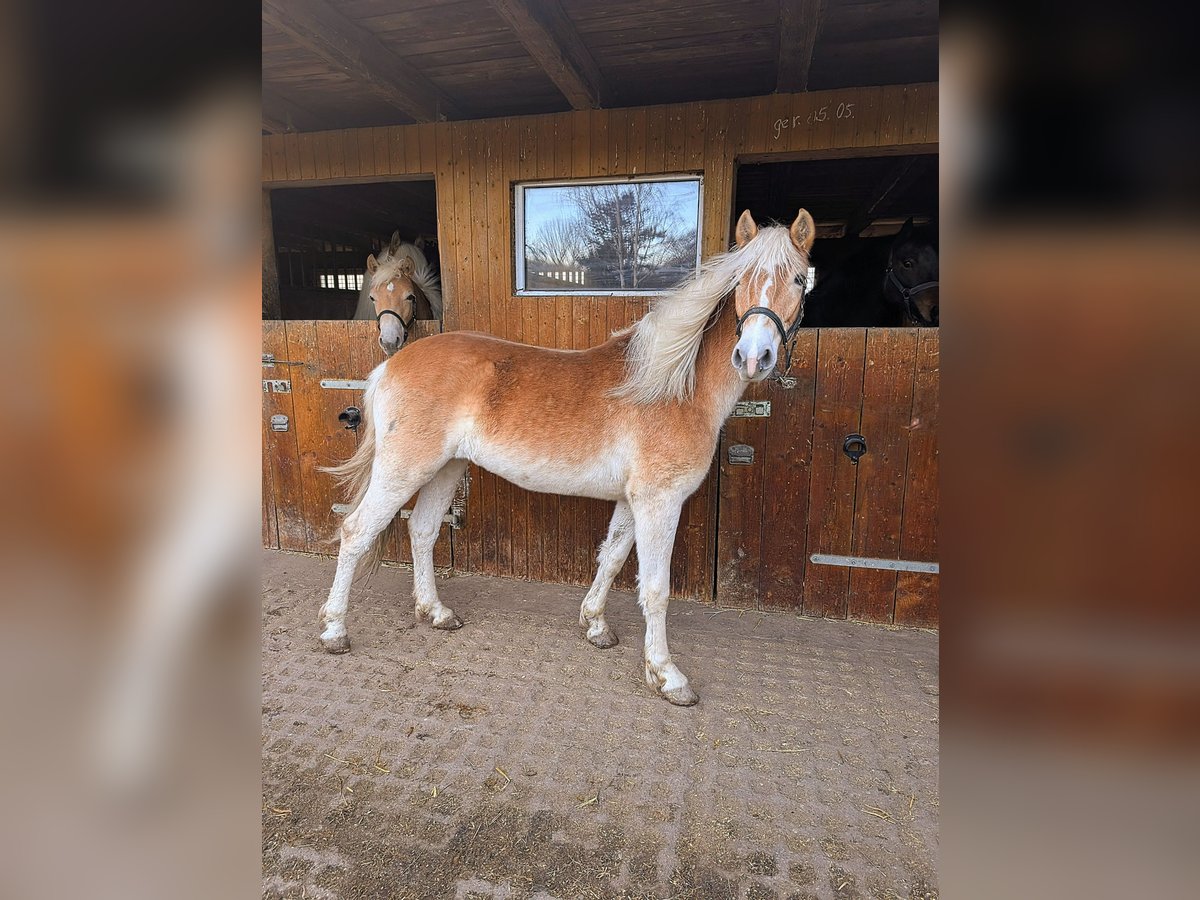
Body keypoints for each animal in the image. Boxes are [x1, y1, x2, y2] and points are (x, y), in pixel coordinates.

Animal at [319, 210, 816, 705]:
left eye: (798, 280)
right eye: (741, 281)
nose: (753, 356)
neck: (674, 386)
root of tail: (389, 365)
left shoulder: (633, 501)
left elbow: (611, 558)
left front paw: (595, 625)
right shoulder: (659, 501)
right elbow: (656, 589)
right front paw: (667, 675)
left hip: (446, 468)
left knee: (422, 531)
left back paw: (437, 612)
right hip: (404, 469)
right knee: (356, 531)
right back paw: (334, 631)